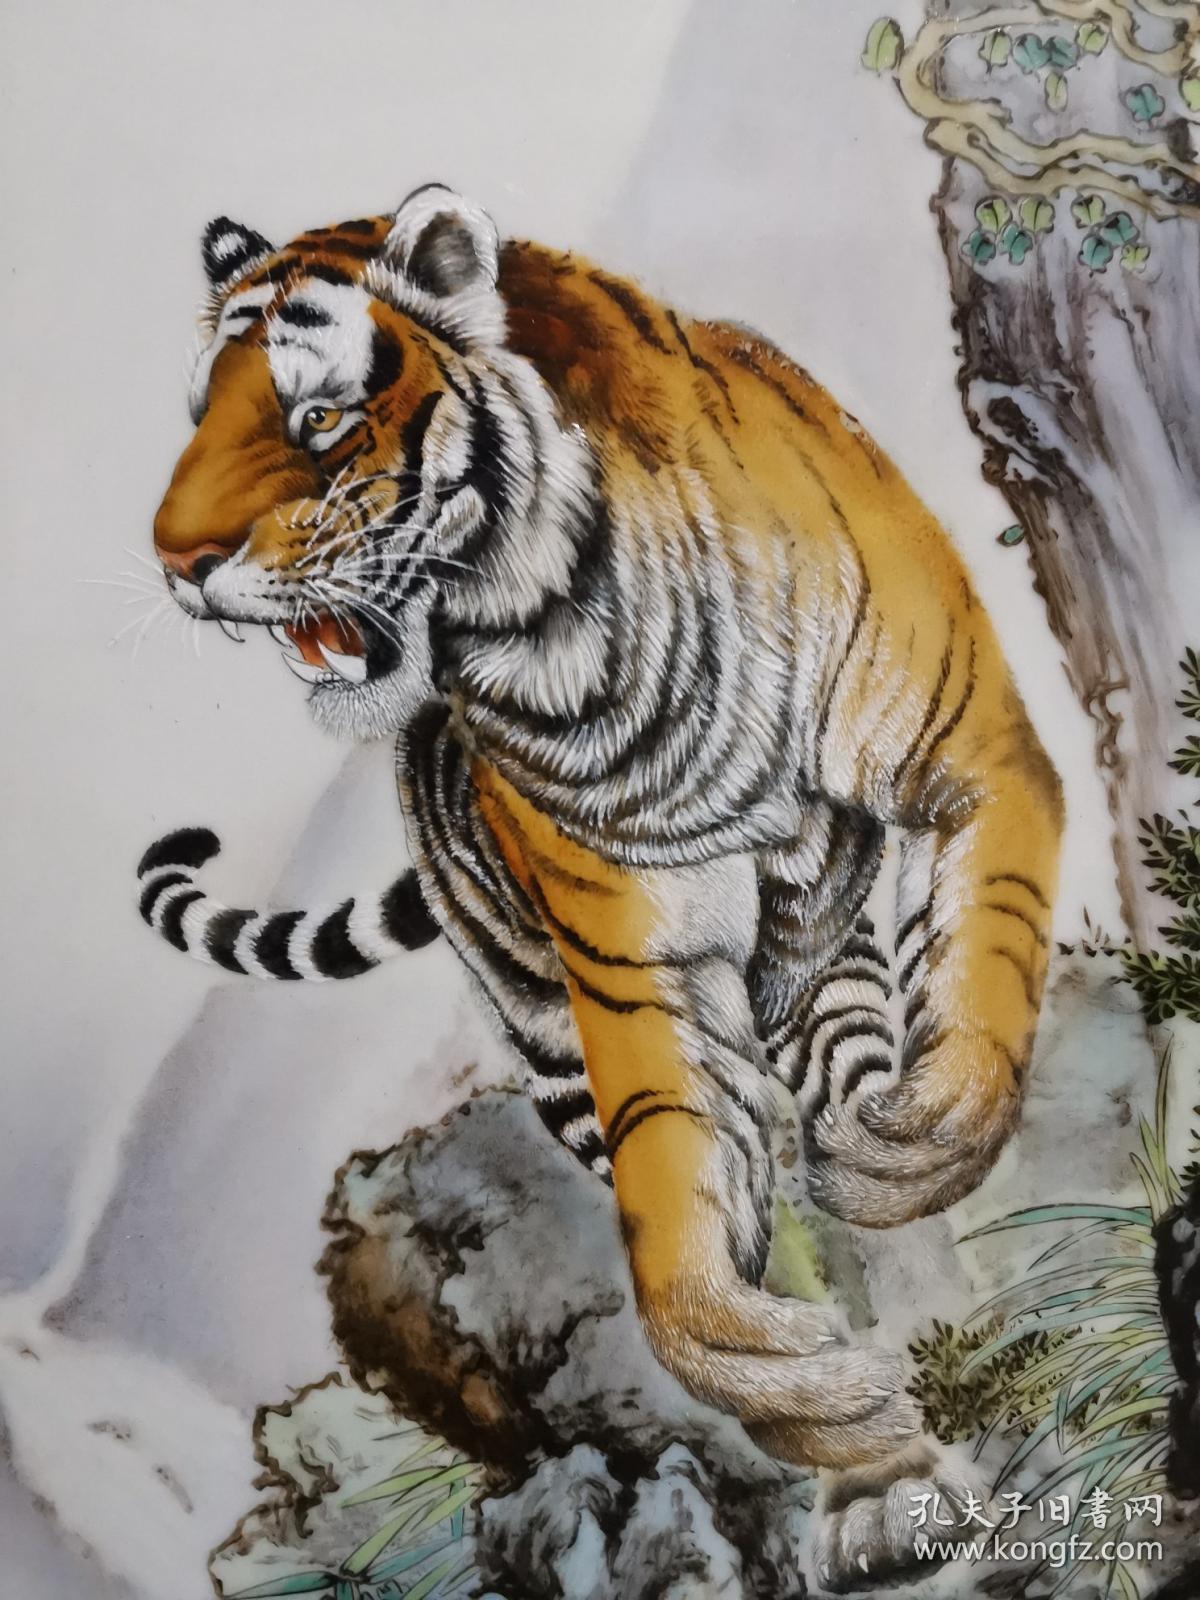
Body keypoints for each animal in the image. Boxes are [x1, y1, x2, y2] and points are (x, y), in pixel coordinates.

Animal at [137, 184, 1062, 1503]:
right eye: (195, 422)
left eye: (317, 417)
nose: (176, 565)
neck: (557, 629)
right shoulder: (634, 962)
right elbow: (674, 1222)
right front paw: (827, 1414)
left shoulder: (978, 752)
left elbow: (992, 955)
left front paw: (919, 1146)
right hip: (551, 1026)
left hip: (816, 955)